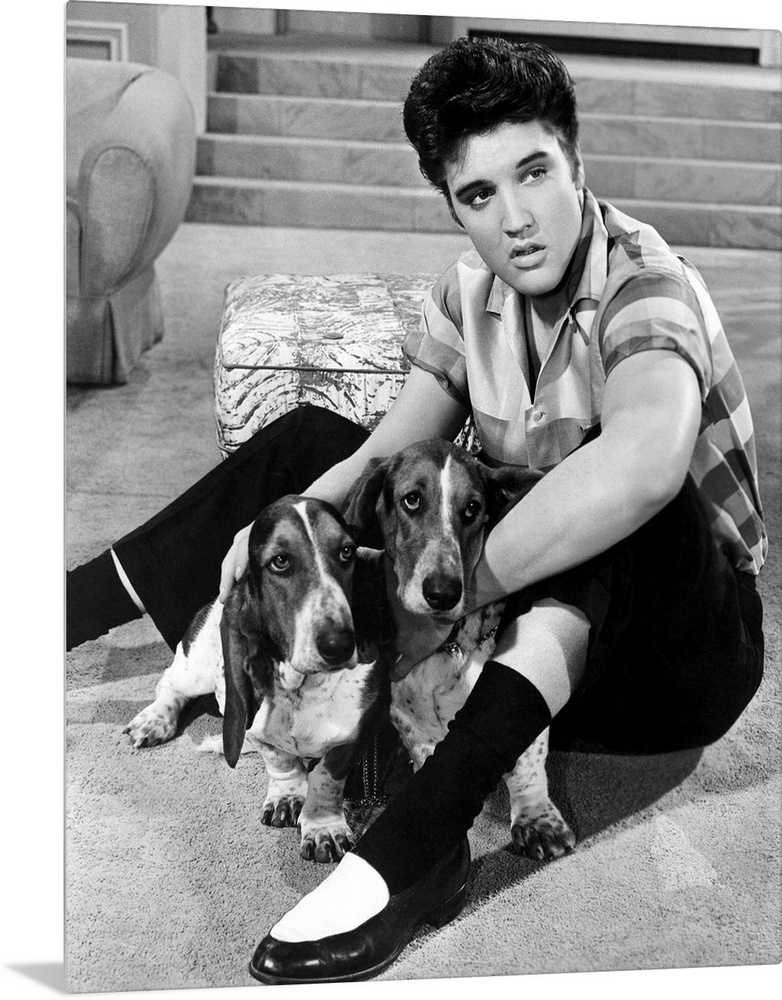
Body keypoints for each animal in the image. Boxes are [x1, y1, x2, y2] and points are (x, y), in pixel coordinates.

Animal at [124, 495, 387, 862]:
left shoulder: (356, 732)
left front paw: (323, 827)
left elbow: (325, 775)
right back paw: (154, 720)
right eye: (280, 561)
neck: (303, 689)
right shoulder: (257, 729)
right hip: (196, 669)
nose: (339, 645)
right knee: (168, 682)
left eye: (347, 551)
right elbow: (281, 760)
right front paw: (287, 796)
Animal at [344, 439, 576, 861]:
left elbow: (526, 760)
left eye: (472, 508)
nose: (443, 593)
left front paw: (537, 820)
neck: (447, 647)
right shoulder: (409, 718)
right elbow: (426, 757)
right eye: (412, 499)